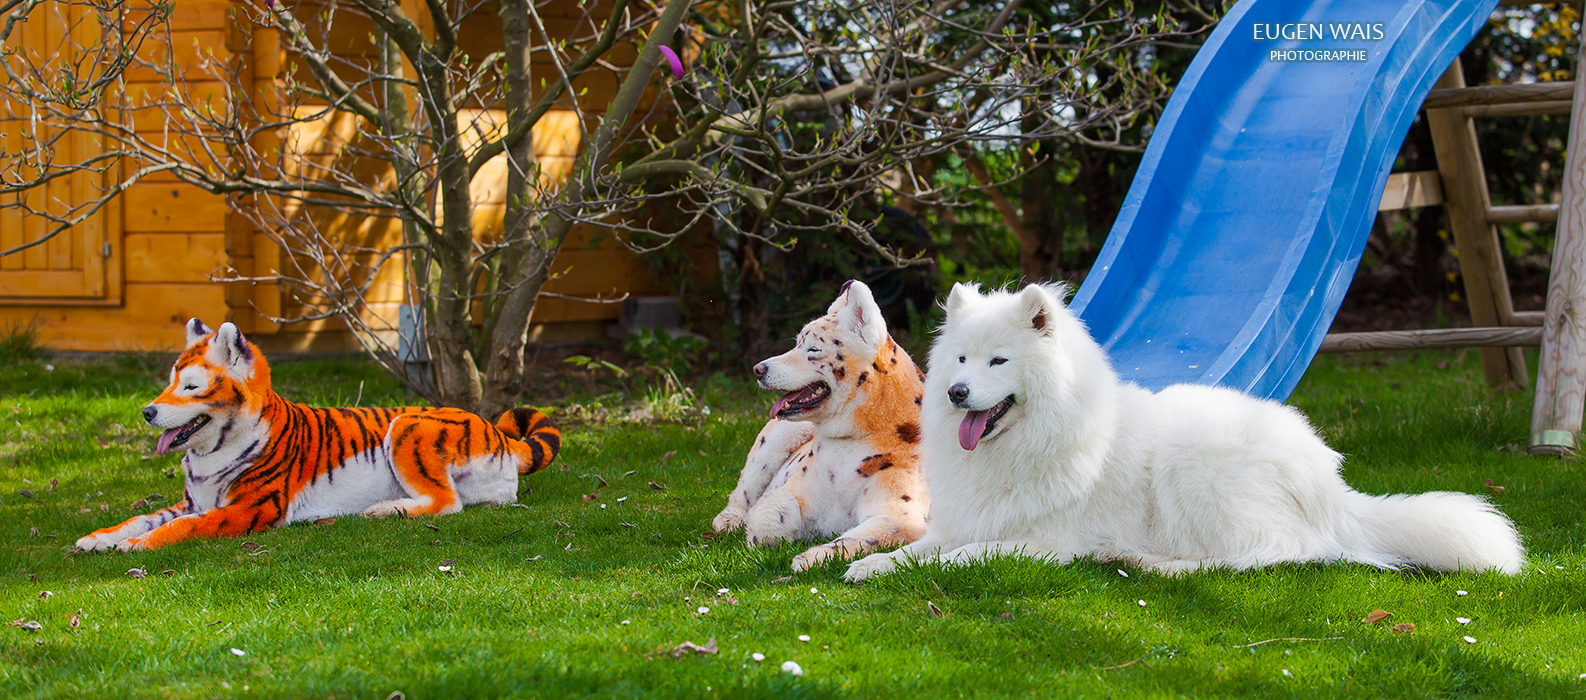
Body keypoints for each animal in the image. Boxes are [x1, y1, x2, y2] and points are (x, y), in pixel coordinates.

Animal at [82, 317, 564, 552]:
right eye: (169, 382)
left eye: (191, 387)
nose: (147, 412)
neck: (206, 454)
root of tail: (500, 433)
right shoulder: (191, 501)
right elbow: (144, 516)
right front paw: (97, 538)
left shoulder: (246, 509)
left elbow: (181, 527)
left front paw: (135, 546)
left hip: (408, 425)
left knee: (449, 503)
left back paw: (383, 510)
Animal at [710, 280, 926, 571]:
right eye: (797, 344)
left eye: (812, 349)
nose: (758, 369)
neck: (848, 443)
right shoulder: (794, 492)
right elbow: (770, 514)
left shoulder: (902, 516)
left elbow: (860, 538)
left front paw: (811, 557)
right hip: (777, 438)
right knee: (744, 490)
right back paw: (729, 520)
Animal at [843, 280, 1522, 580]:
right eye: (960, 359)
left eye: (999, 362)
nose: (956, 393)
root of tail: (1331, 486)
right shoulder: (963, 521)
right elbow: (919, 551)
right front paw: (868, 566)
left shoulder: (1043, 541)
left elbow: (965, 555)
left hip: (1195, 466)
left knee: (1272, 554)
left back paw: (1151, 563)